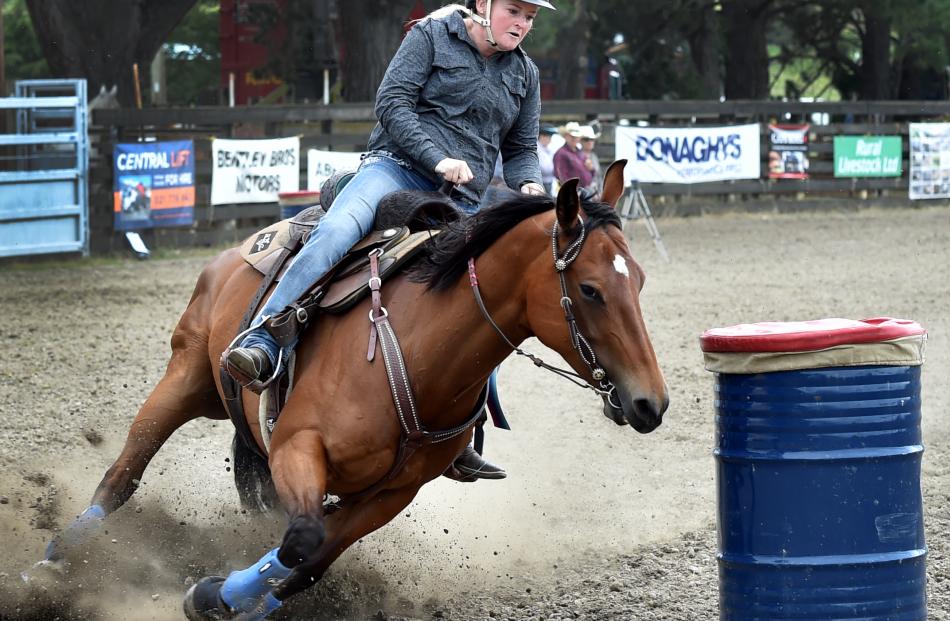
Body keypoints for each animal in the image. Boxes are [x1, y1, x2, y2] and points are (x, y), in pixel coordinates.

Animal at [39, 159, 668, 616]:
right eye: (589, 289)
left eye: (640, 280)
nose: (651, 403)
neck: (418, 350)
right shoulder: (296, 447)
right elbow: (300, 540)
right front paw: (208, 596)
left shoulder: (392, 495)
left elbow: (310, 559)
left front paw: (231, 599)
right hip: (186, 376)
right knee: (123, 475)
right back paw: (54, 561)